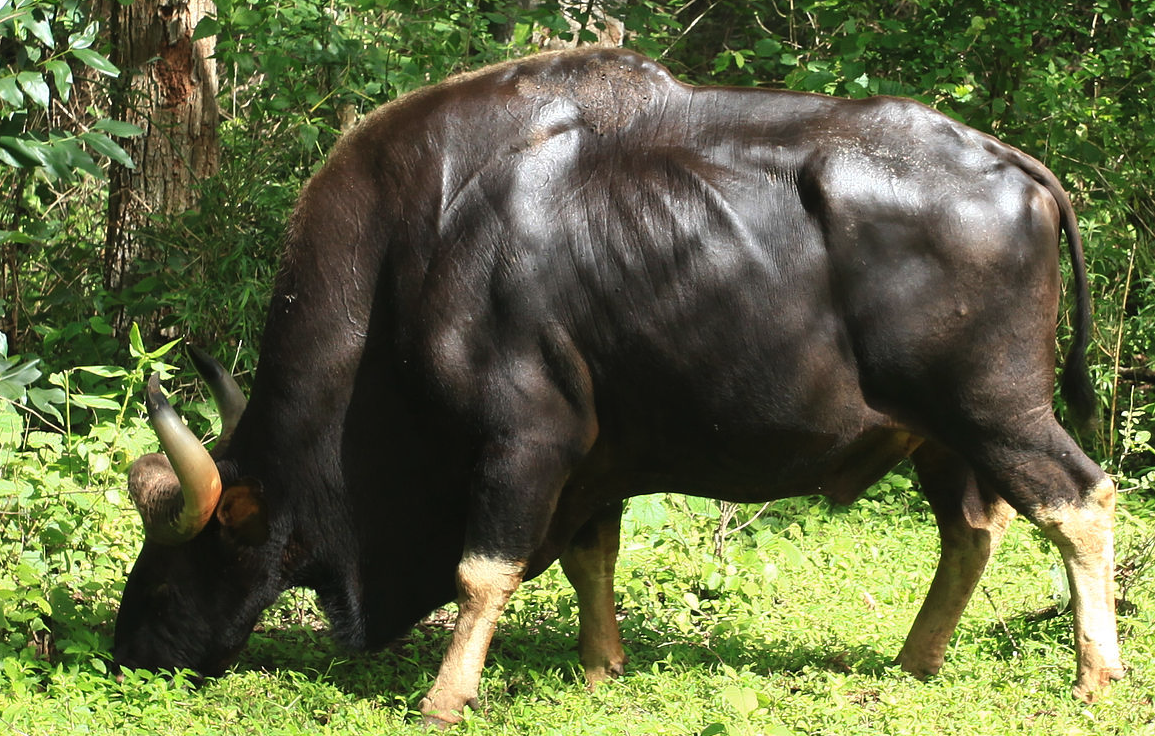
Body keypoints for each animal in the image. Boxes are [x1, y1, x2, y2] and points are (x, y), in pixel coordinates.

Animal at [112, 47, 1122, 725]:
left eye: (177, 566)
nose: (129, 655)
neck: (413, 254)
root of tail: (1015, 165)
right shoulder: (596, 453)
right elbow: (590, 554)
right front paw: (601, 667)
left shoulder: (525, 440)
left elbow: (481, 569)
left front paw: (446, 695)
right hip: (939, 435)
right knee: (973, 532)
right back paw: (913, 663)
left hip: (993, 409)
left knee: (1079, 500)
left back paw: (1094, 675)